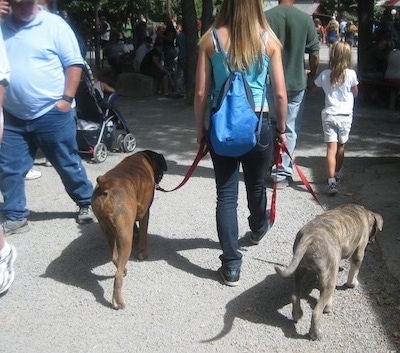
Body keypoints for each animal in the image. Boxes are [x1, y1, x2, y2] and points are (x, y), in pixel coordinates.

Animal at [92, 149, 167, 308]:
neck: (145, 158)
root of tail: (106, 185)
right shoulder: (145, 213)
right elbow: (143, 233)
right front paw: (142, 254)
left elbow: (137, 228)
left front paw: (137, 236)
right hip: (125, 237)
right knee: (117, 276)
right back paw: (119, 302)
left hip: (107, 229)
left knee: (114, 256)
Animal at [276, 204, 384, 338]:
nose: (372, 241)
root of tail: (310, 236)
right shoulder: (359, 252)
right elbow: (354, 271)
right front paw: (353, 284)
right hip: (329, 280)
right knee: (316, 312)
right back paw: (316, 334)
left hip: (301, 270)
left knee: (295, 295)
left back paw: (298, 315)